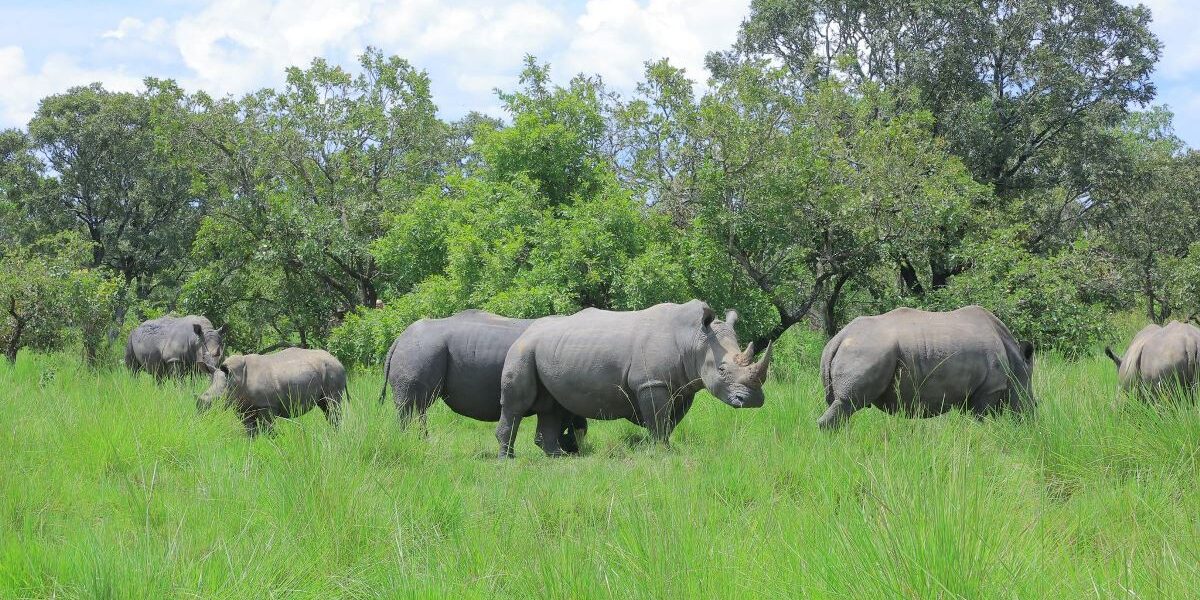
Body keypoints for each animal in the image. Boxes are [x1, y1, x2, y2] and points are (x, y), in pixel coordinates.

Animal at [198, 347, 348, 435]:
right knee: (325, 406)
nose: (200, 409)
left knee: (332, 405)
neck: (234, 379)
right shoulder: (242, 407)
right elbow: (250, 432)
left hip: (333, 370)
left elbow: (267, 430)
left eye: (218, 399)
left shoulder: (267, 405)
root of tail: (338, 361)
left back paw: (335, 436)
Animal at [379, 310, 588, 453]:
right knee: (409, 405)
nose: (576, 451)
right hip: (420, 351)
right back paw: (408, 441)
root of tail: (399, 339)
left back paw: (422, 442)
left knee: (420, 405)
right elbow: (567, 420)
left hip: (421, 351)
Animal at [496, 300, 772, 458]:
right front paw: (662, 453)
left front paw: (664, 448)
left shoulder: (682, 387)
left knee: (551, 406)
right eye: (722, 370)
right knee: (516, 406)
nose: (753, 401)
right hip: (522, 350)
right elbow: (658, 419)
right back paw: (508, 459)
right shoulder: (652, 383)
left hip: (546, 351)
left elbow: (669, 421)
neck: (694, 339)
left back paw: (557, 456)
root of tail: (526, 330)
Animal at [818, 305, 1035, 430]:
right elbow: (979, 420)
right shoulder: (989, 389)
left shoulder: (968, 391)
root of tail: (838, 338)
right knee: (847, 403)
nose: (1032, 417)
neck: (1016, 360)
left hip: (855, 350)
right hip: (866, 350)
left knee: (840, 405)